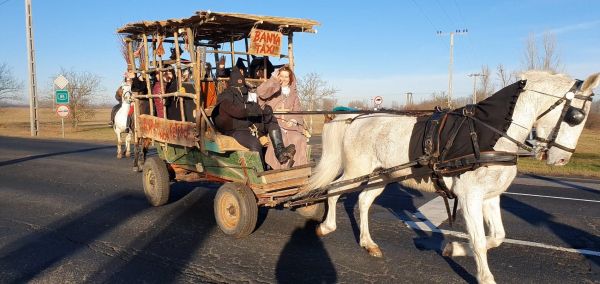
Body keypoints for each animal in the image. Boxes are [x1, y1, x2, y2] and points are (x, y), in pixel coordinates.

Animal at [308, 70, 596, 282]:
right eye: (575, 116)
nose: (562, 159)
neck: (488, 135)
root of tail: (356, 117)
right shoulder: (470, 197)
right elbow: (479, 240)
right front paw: (484, 277)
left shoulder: (490, 197)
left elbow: (497, 236)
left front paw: (454, 248)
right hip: (358, 170)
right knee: (333, 189)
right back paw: (327, 226)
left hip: (382, 175)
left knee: (364, 202)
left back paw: (368, 243)